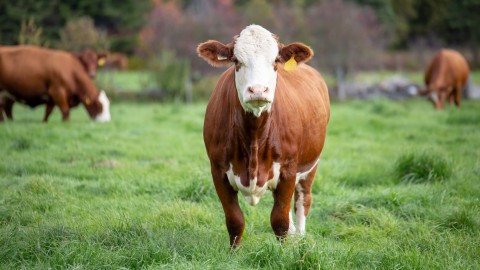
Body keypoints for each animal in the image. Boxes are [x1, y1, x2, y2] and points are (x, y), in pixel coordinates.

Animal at [196, 24, 330, 247]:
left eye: (275, 60)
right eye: (236, 60)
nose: (258, 90)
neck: (254, 135)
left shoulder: (288, 169)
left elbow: (279, 220)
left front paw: (284, 251)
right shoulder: (218, 170)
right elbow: (235, 220)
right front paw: (233, 252)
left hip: (311, 165)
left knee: (302, 201)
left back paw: (300, 237)